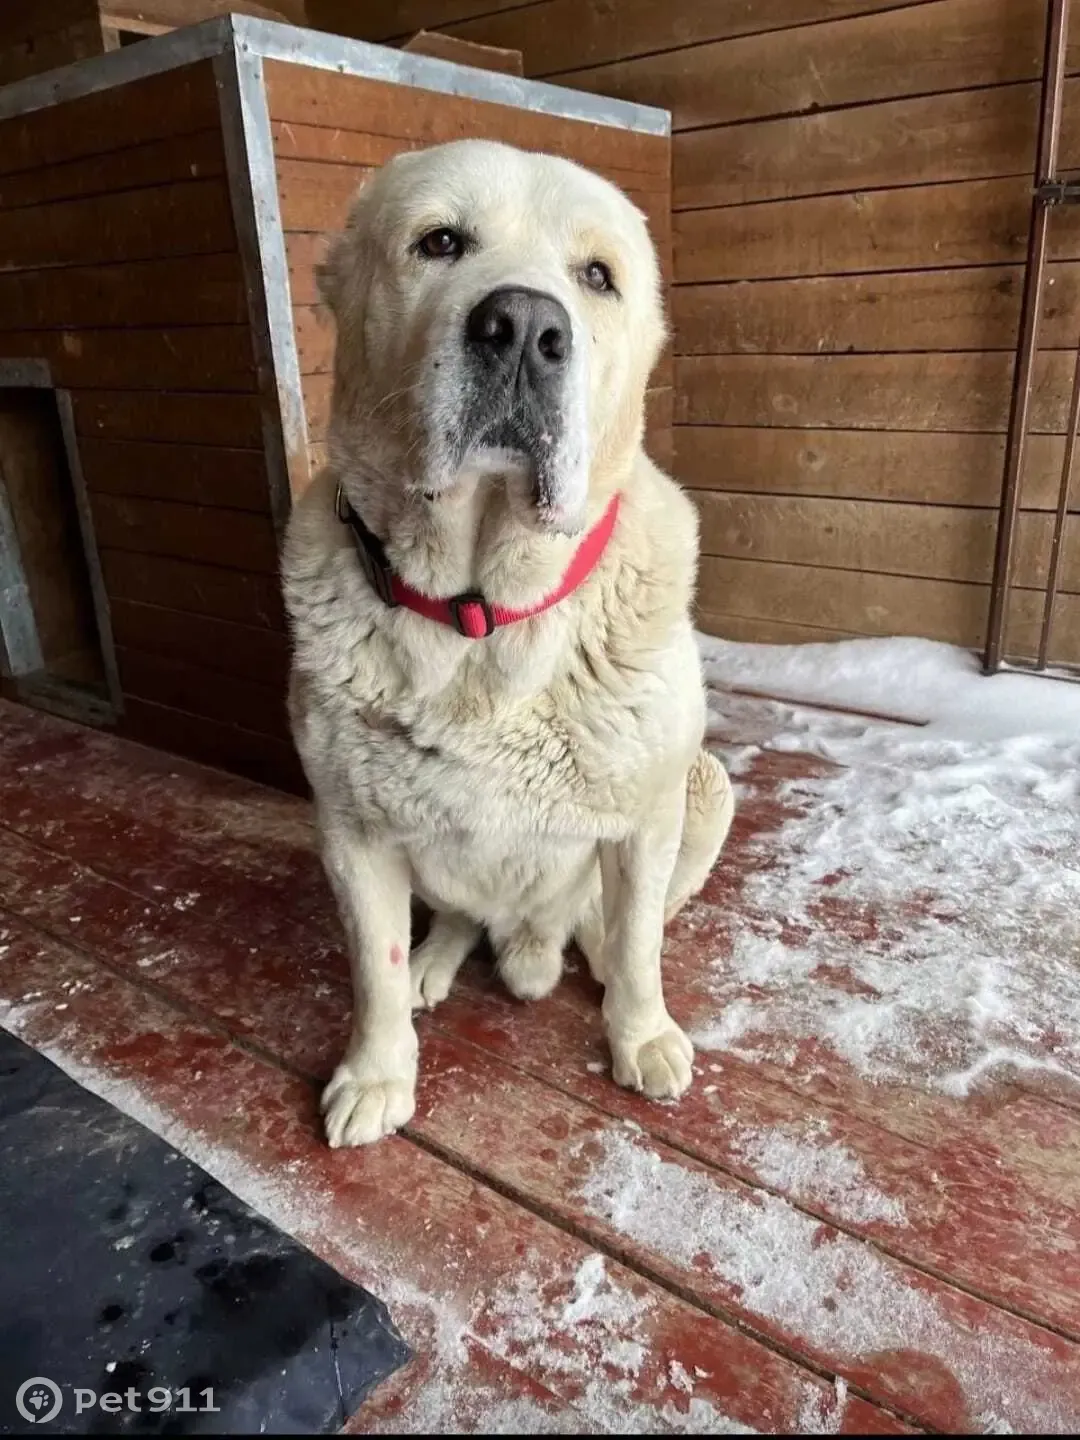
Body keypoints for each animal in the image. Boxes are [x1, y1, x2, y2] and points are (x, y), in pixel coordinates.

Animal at [283, 137, 737, 1146]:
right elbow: (369, 969)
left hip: (706, 790)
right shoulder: (350, 831)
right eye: (439, 241)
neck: (482, 613)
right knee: (453, 919)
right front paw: (376, 1074)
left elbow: (642, 942)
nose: (525, 326)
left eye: (598, 276)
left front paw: (640, 1036)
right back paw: (435, 960)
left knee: (616, 927)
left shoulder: (649, 816)